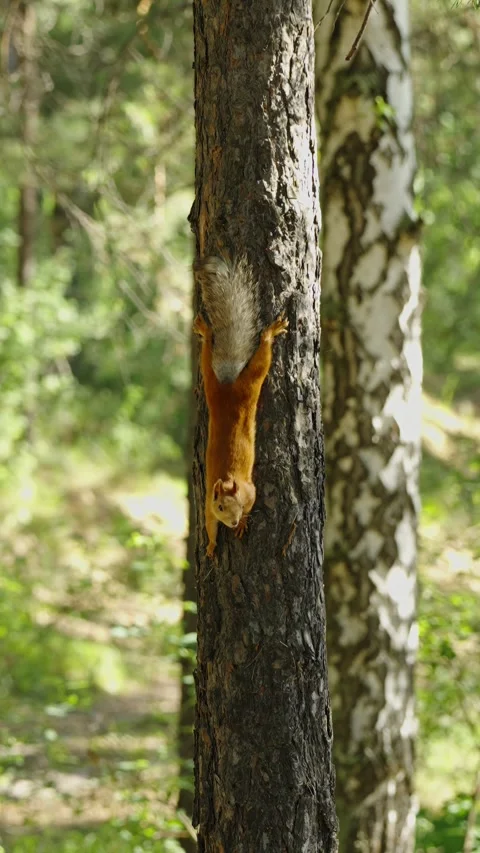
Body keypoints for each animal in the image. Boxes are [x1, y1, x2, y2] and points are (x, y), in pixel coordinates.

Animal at [193, 256, 288, 560]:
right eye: (222, 506)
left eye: (236, 503)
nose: (233, 521)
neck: (226, 480)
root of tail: (227, 388)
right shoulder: (207, 508)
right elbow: (210, 527)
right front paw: (212, 546)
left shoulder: (250, 491)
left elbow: (253, 501)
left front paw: (244, 523)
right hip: (213, 381)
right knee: (208, 355)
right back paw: (205, 331)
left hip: (248, 381)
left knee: (260, 356)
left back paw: (270, 332)